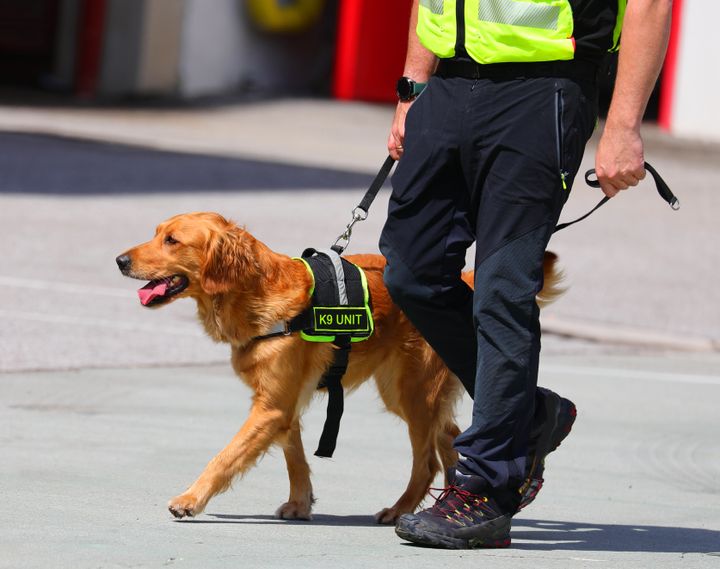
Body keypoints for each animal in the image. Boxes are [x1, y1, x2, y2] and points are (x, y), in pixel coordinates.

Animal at [116, 212, 564, 524]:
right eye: (156, 232)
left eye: (172, 240)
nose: (120, 259)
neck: (254, 292)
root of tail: (464, 281)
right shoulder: (284, 406)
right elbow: (295, 458)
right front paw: (300, 503)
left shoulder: (270, 407)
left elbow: (224, 457)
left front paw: (191, 499)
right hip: (405, 393)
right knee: (453, 437)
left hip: (412, 392)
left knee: (428, 462)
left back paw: (402, 510)